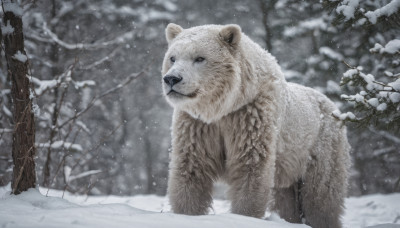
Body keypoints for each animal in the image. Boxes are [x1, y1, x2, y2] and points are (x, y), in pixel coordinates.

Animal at [161, 23, 352, 228]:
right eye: (172, 57)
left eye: (199, 58)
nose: (172, 79)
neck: (225, 107)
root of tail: (335, 107)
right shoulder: (198, 125)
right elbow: (192, 168)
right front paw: (186, 214)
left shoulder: (251, 116)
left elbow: (250, 168)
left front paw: (245, 216)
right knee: (287, 199)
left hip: (322, 147)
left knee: (321, 197)